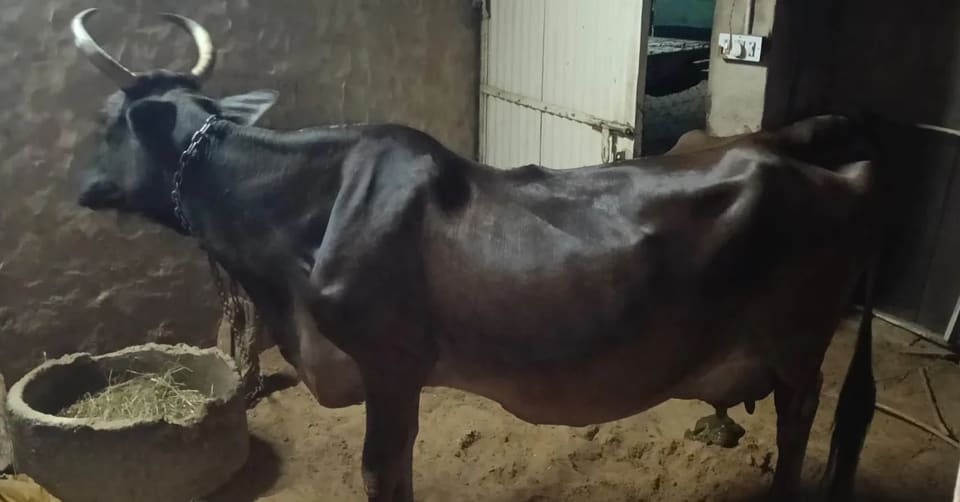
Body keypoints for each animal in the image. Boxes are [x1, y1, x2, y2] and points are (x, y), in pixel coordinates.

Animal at [68, 9, 888, 502]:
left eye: (110, 121)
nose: (81, 186)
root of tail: (846, 174)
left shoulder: (391, 364)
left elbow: (383, 471)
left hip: (798, 342)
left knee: (799, 418)